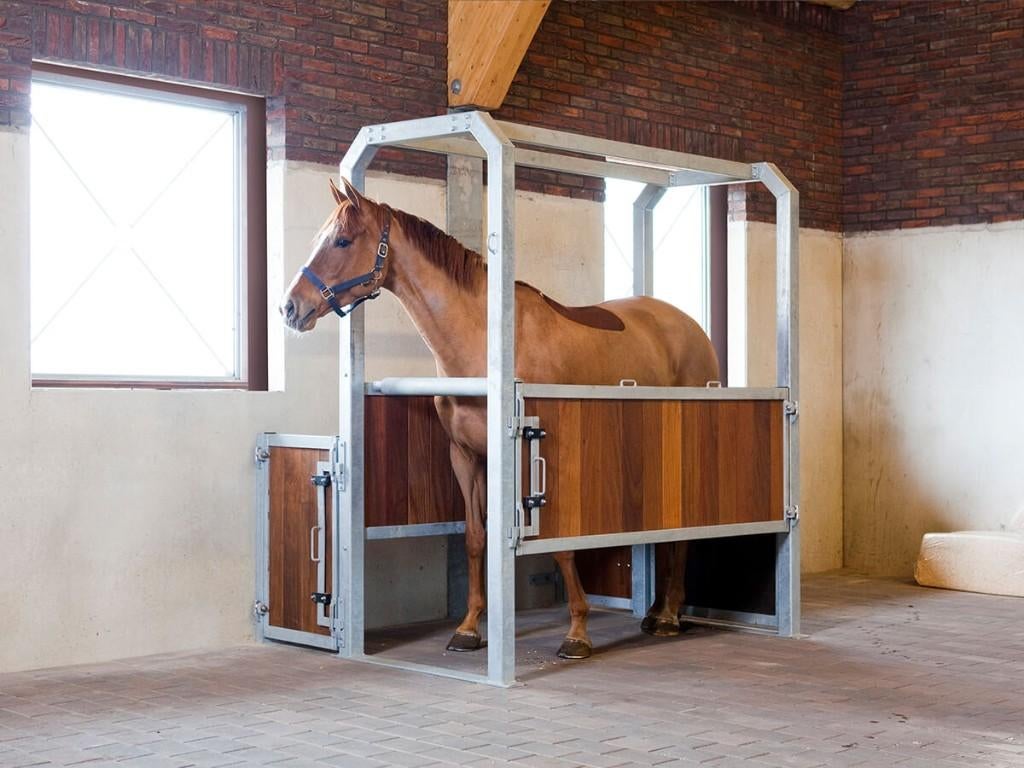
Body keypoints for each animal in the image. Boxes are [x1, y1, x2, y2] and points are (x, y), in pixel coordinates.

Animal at [280, 177, 719, 659]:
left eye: (342, 240)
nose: (290, 307)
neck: (485, 346)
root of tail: (690, 327)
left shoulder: (536, 456)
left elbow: (560, 547)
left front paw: (577, 632)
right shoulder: (467, 457)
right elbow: (476, 538)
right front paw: (469, 627)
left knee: (684, 532)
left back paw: (669, 616)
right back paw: (656, 611)